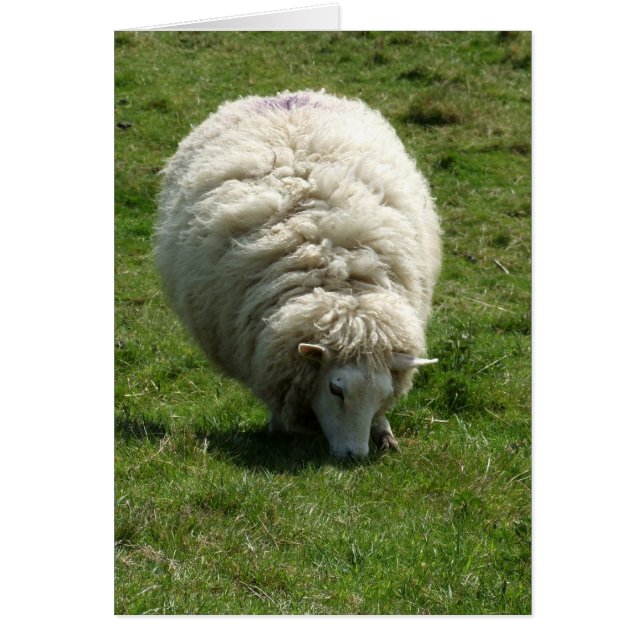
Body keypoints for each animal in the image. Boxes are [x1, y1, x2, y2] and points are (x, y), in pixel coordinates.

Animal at [155, 90, 442, 458]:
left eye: (382, 393)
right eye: (336, 390)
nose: (354, 456)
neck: (340, 284)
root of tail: (284, 96)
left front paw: (384, 433)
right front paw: (280, 429)